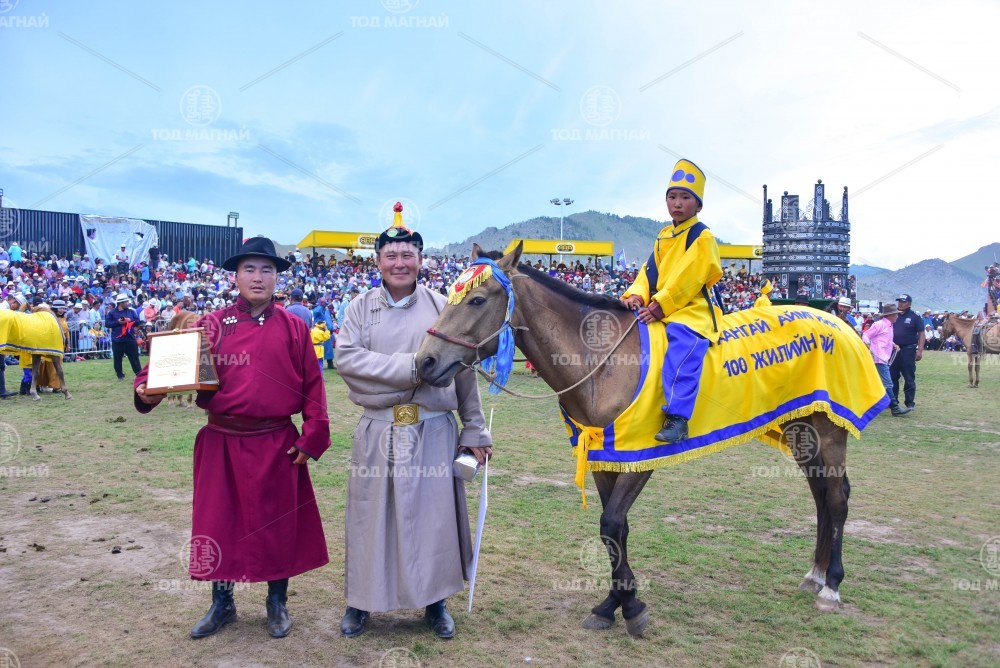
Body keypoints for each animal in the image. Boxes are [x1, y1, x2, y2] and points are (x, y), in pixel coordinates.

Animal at [416, 243, 886, 636]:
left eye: (477, 298)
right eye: (449, 292)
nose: (425, 361)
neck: (603, 363)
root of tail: (835, 319)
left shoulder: (640, 456)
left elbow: (612, 523)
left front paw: (631, 607)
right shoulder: (603, 456)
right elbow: (615, 530)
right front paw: (613, 604)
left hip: (828, 430)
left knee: (837, 499)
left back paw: (832, 586)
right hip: (802, 431)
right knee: (821, 496)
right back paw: (815, 575)